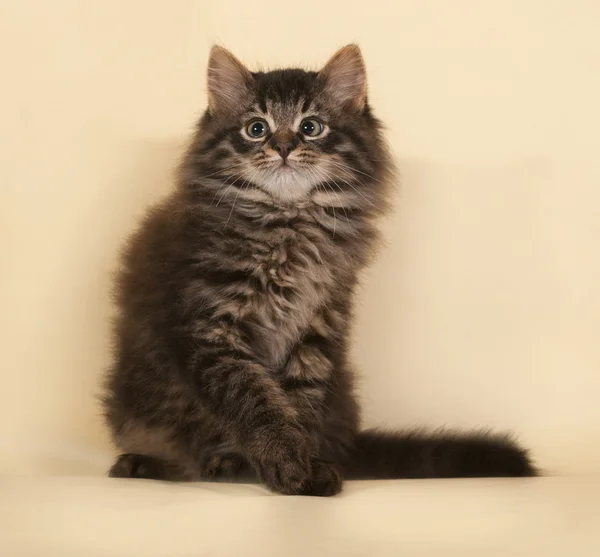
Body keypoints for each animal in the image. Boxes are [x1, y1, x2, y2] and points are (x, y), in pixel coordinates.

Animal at [101, 44, 536, 496]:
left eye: (310, 127)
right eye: (256, 129)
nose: (283, 146)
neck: (289, 224)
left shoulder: (317, 328)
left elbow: (298, 403)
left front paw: (307, 466)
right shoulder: (210, 330)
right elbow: (254, 400)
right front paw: (286, 462)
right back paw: (159, 464)